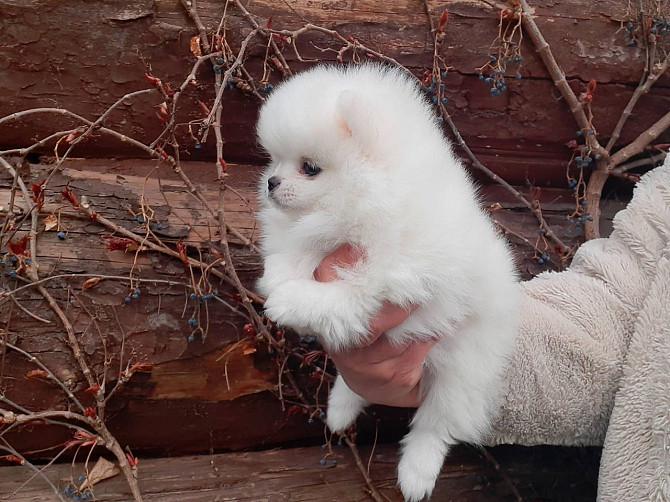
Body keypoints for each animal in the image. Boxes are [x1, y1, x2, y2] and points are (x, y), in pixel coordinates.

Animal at [256, 64, 520, 500]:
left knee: (436, 425)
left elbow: (341, 299)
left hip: (463, 369)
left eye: (309, 167)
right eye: (274, 161)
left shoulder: (386, 284)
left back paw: (416, 474)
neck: (373, 196)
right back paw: (339, 410)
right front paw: (281, 274)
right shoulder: (325, 235)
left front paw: (288, 301)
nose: (271, 182)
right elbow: (302, 246)